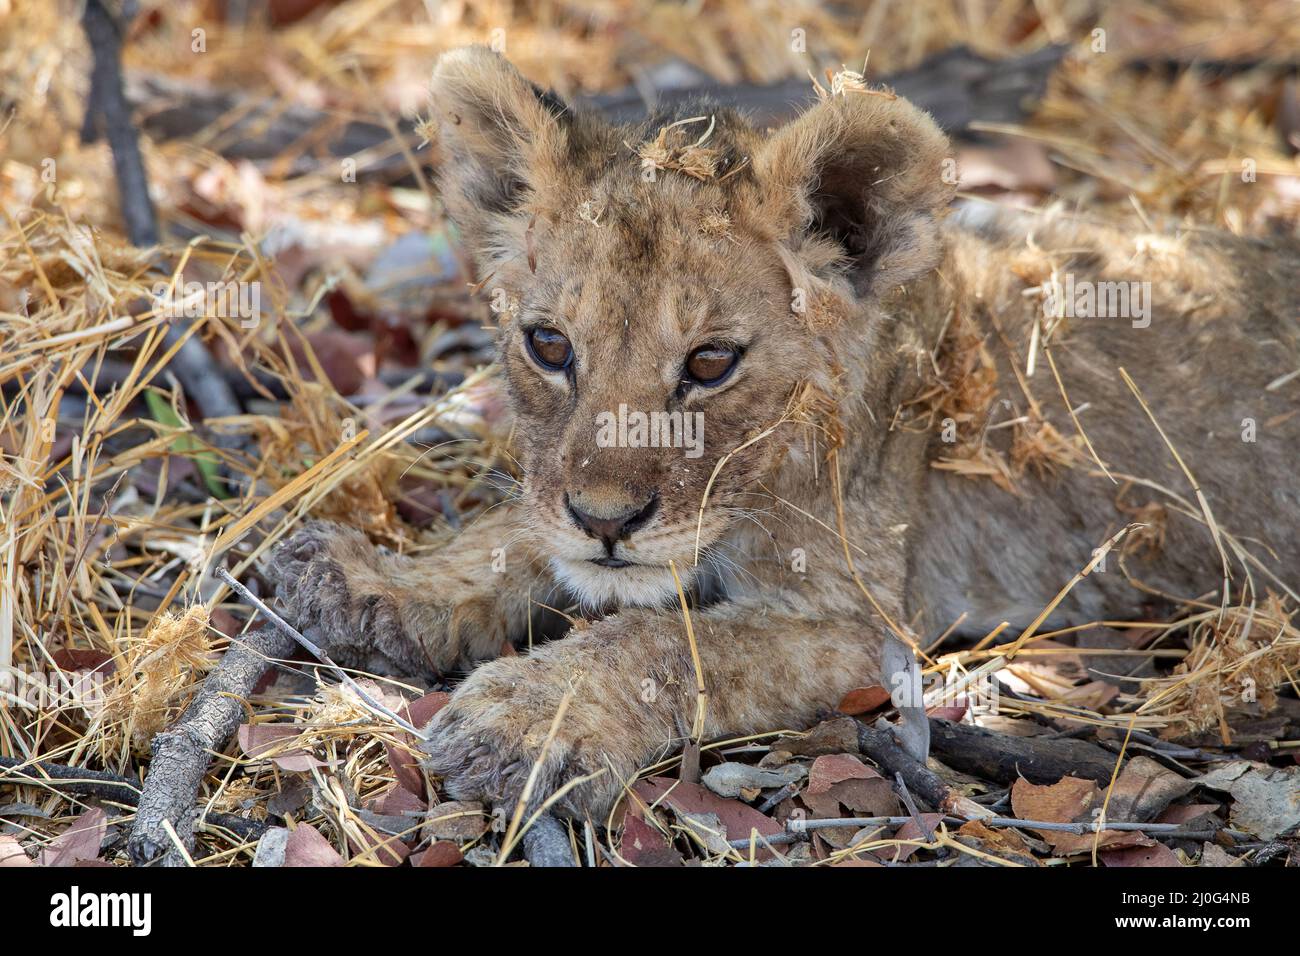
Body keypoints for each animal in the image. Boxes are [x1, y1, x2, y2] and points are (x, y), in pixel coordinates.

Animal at [268, 47, 1300, 819]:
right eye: (550, 345)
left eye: (712, 363)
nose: (606, 523)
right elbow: (525, 529)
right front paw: (380, 580)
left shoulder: (865, 628)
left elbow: (664, 643)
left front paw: (524, 715)